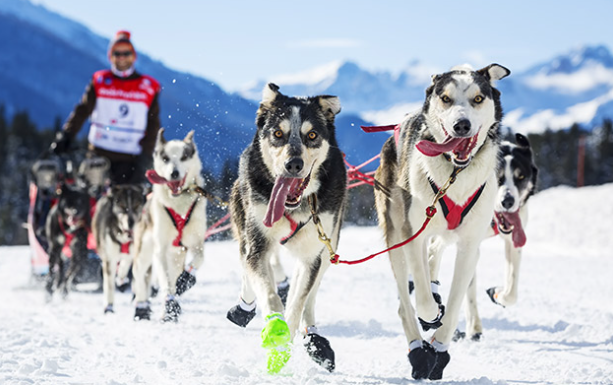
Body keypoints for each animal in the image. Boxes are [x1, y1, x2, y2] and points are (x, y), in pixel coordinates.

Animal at [92, 184, 145, 314]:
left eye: (136, 206)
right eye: (122, 206)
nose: (131, 222)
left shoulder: (133, 251)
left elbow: (126, 264)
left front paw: (122, 279)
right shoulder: (109, 258)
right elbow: (109, 284)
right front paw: (109, 306)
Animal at [130, 129, 207, 320]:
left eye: (184, 156)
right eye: (165, 158)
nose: (174, 173)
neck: (179, 203)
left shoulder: (196, 243)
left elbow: (199, 259)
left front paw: (186, 280)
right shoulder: (161, 249)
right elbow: (165, 281)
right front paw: (169, 307)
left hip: (176, 255)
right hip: (144, 253)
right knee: (140, 278)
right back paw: (142, 307)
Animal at [228, 83, 346, 372]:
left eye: (312, 135)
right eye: (278, 133)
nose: (293, 164)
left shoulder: (312, 254)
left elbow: (298, 302)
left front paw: (285, 342)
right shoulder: (258, 244)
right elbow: (270, 295)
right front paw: (274, 328)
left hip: (330, 246)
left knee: (310, 296)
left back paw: (313, 336)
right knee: (249, 265)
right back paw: (244, 307)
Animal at [372, 64, 512, 380]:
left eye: (478, 98)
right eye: (445, 98)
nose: (462, 125)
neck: (454, 175)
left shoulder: (469, 245)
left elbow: (458, 299)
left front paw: (439, 349)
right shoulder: (414, 234)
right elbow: (422, 300)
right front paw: (429, 321)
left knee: (434, 260)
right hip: (396, 235)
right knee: (406, 300)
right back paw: (417, 349)